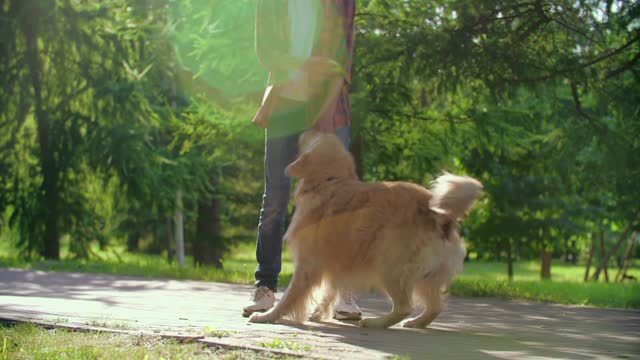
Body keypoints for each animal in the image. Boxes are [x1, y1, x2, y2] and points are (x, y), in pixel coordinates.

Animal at [248, 131, 482, 328]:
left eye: (316, 135)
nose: (306, 129)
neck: (330, 182)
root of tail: (438, 213)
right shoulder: (335, 261)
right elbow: (330, 291)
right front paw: (320, 313)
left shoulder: (308, 263)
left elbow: (290, 296)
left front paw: (268, 316)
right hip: (426, 274)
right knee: (435, 306)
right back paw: (416, 323)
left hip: (388, 263)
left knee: (404, 306)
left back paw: (376, 322)